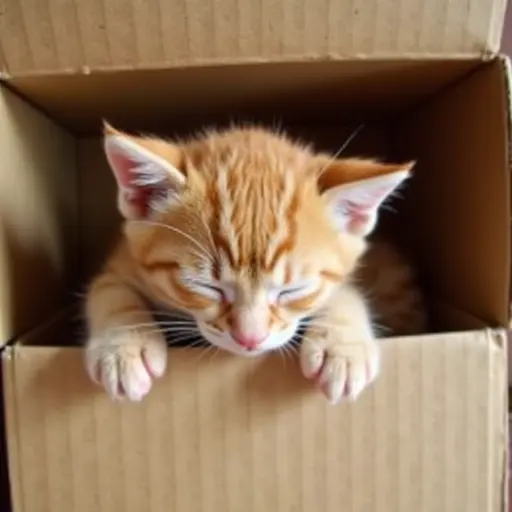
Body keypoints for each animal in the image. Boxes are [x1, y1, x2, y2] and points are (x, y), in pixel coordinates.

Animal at [86, 123, 426, 404]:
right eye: (205, 286)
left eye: (294, 290)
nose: (250, 339)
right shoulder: (122, 261)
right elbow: (107, 289)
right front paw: (124, 348)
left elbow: (343, 291)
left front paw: (342, 346)